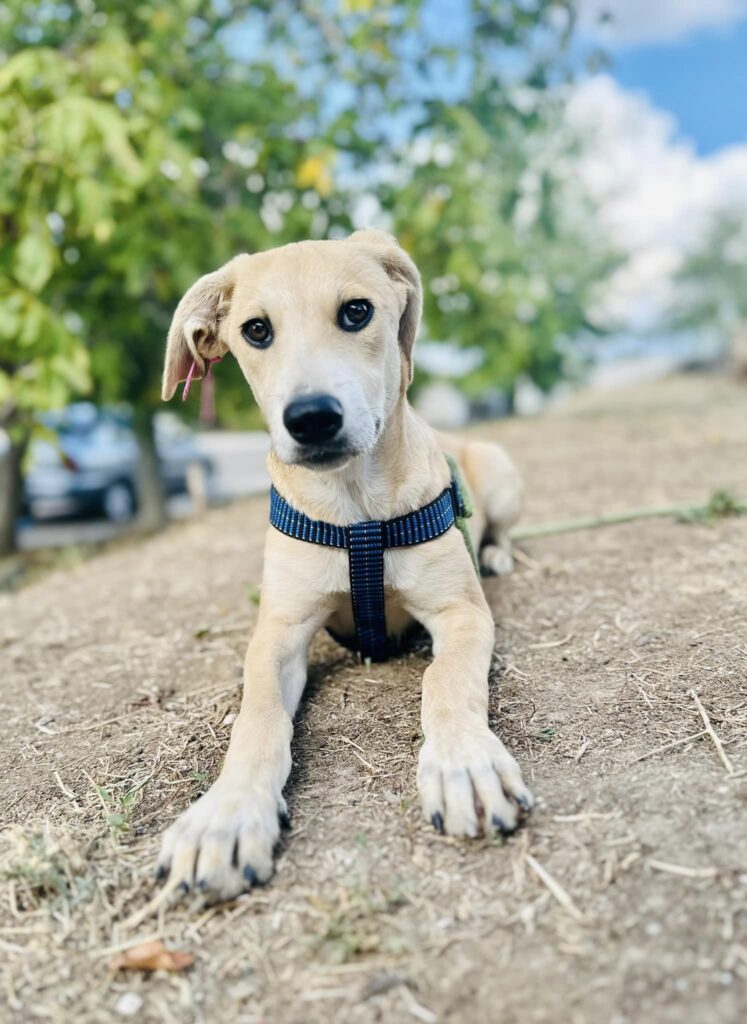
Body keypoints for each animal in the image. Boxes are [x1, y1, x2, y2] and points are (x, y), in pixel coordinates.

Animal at [157, 230, 528, 897]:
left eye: (357, 312)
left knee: (503, 530)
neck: (357, 513)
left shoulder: (462, 613)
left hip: (501, 470)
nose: (310, 418)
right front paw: (225, 815)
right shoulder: (277, 633)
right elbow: (257, 718)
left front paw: (464, 763)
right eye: (256, 330)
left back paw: (495, 552)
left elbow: (447, 680)